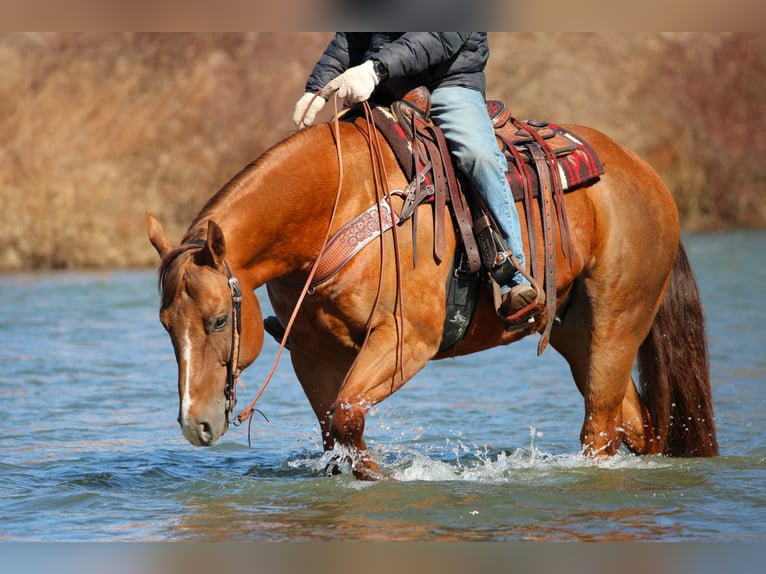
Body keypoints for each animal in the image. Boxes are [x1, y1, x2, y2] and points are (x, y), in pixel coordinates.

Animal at [146, 108, 718, 480]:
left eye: (220, 320)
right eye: (166, 326)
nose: (195, 423)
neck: (338, 206)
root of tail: (649, 179)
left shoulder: (407, 340)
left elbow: (347, 417)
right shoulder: (313, 352)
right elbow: (336, 431)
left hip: (617, 328)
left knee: (599, 429)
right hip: (578, 335)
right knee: (636, 425)